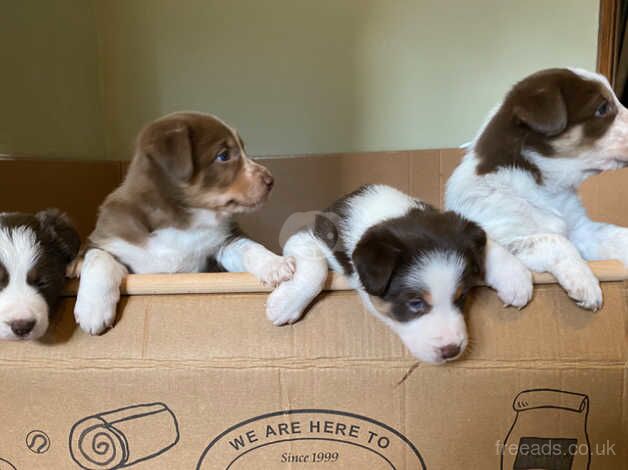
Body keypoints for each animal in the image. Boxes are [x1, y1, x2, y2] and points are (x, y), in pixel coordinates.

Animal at [72, 112, 298, 336]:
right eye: (224, 155)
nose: (271, 180)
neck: (182, 222)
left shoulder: (222, 243)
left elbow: (248, 246)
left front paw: (276, 264)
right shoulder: (106, 238)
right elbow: (98, 258)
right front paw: (92, 311)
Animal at [264, 185, 528, 364]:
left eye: (461, 298)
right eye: (415, 303)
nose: (452, 351)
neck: (389, 213)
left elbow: (487, 240)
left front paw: (515, 278)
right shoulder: (307, 236)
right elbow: (314, 267)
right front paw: (286, 304)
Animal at [444, 65, 628, 308]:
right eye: (603, 108)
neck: (548, 188)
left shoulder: (581, 228)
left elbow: (615, 234)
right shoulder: (502, 230)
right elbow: (552, 239)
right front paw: (585, 282)